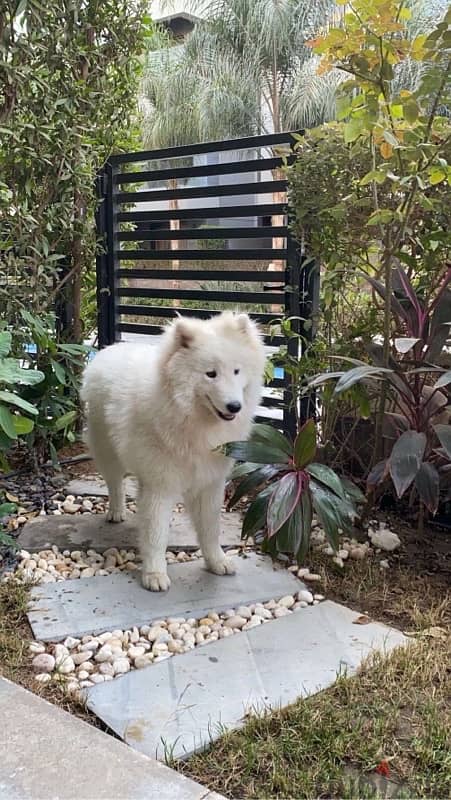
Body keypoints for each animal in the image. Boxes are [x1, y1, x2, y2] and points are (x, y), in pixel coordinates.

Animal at [81, 310, 266, 592]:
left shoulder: (210, 483)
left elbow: (210, 529)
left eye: (237, 371)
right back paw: (116, 511)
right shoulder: (160, 485)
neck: (191, 420)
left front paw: (217, 562)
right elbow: (155, 533)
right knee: (115, 483)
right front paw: (154, 574)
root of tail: (109, 349)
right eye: (210, 374)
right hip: (107, 451)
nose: (234, 406)